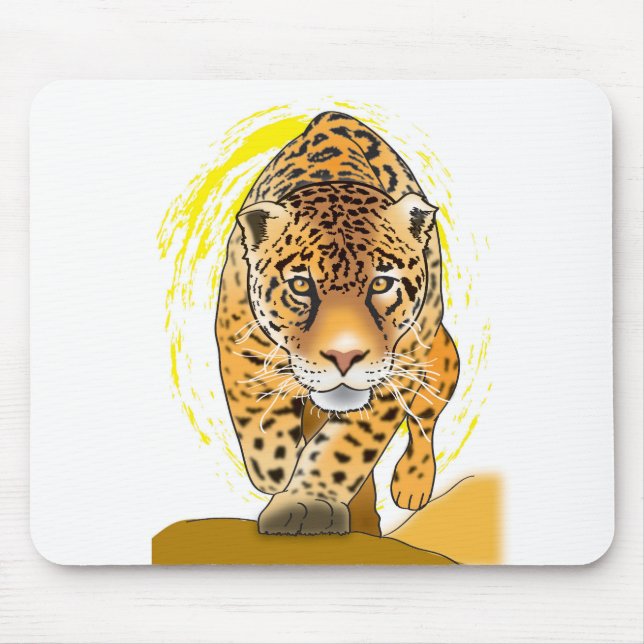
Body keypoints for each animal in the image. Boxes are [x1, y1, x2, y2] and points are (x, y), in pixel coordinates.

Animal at [215, 111, 459, 537]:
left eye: (381, 283)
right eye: (300, 285)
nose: (344, 357)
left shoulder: (399, 367)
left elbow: (345, 447)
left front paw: (305, 504)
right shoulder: (237, 335)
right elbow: (260, 431)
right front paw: (277, 472)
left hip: (442, 357)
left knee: (423, 422)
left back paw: (412, 485)